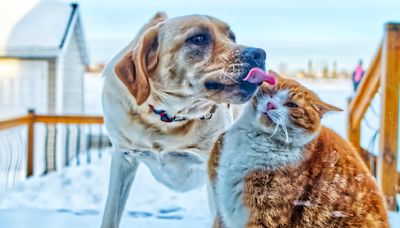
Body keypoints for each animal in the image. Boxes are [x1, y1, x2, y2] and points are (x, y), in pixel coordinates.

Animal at [100, 12, 272, 228]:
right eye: (198, 38)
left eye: (232, 37)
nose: (260, 54)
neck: (167, 120)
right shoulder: (123, 158)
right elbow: (111, 214)